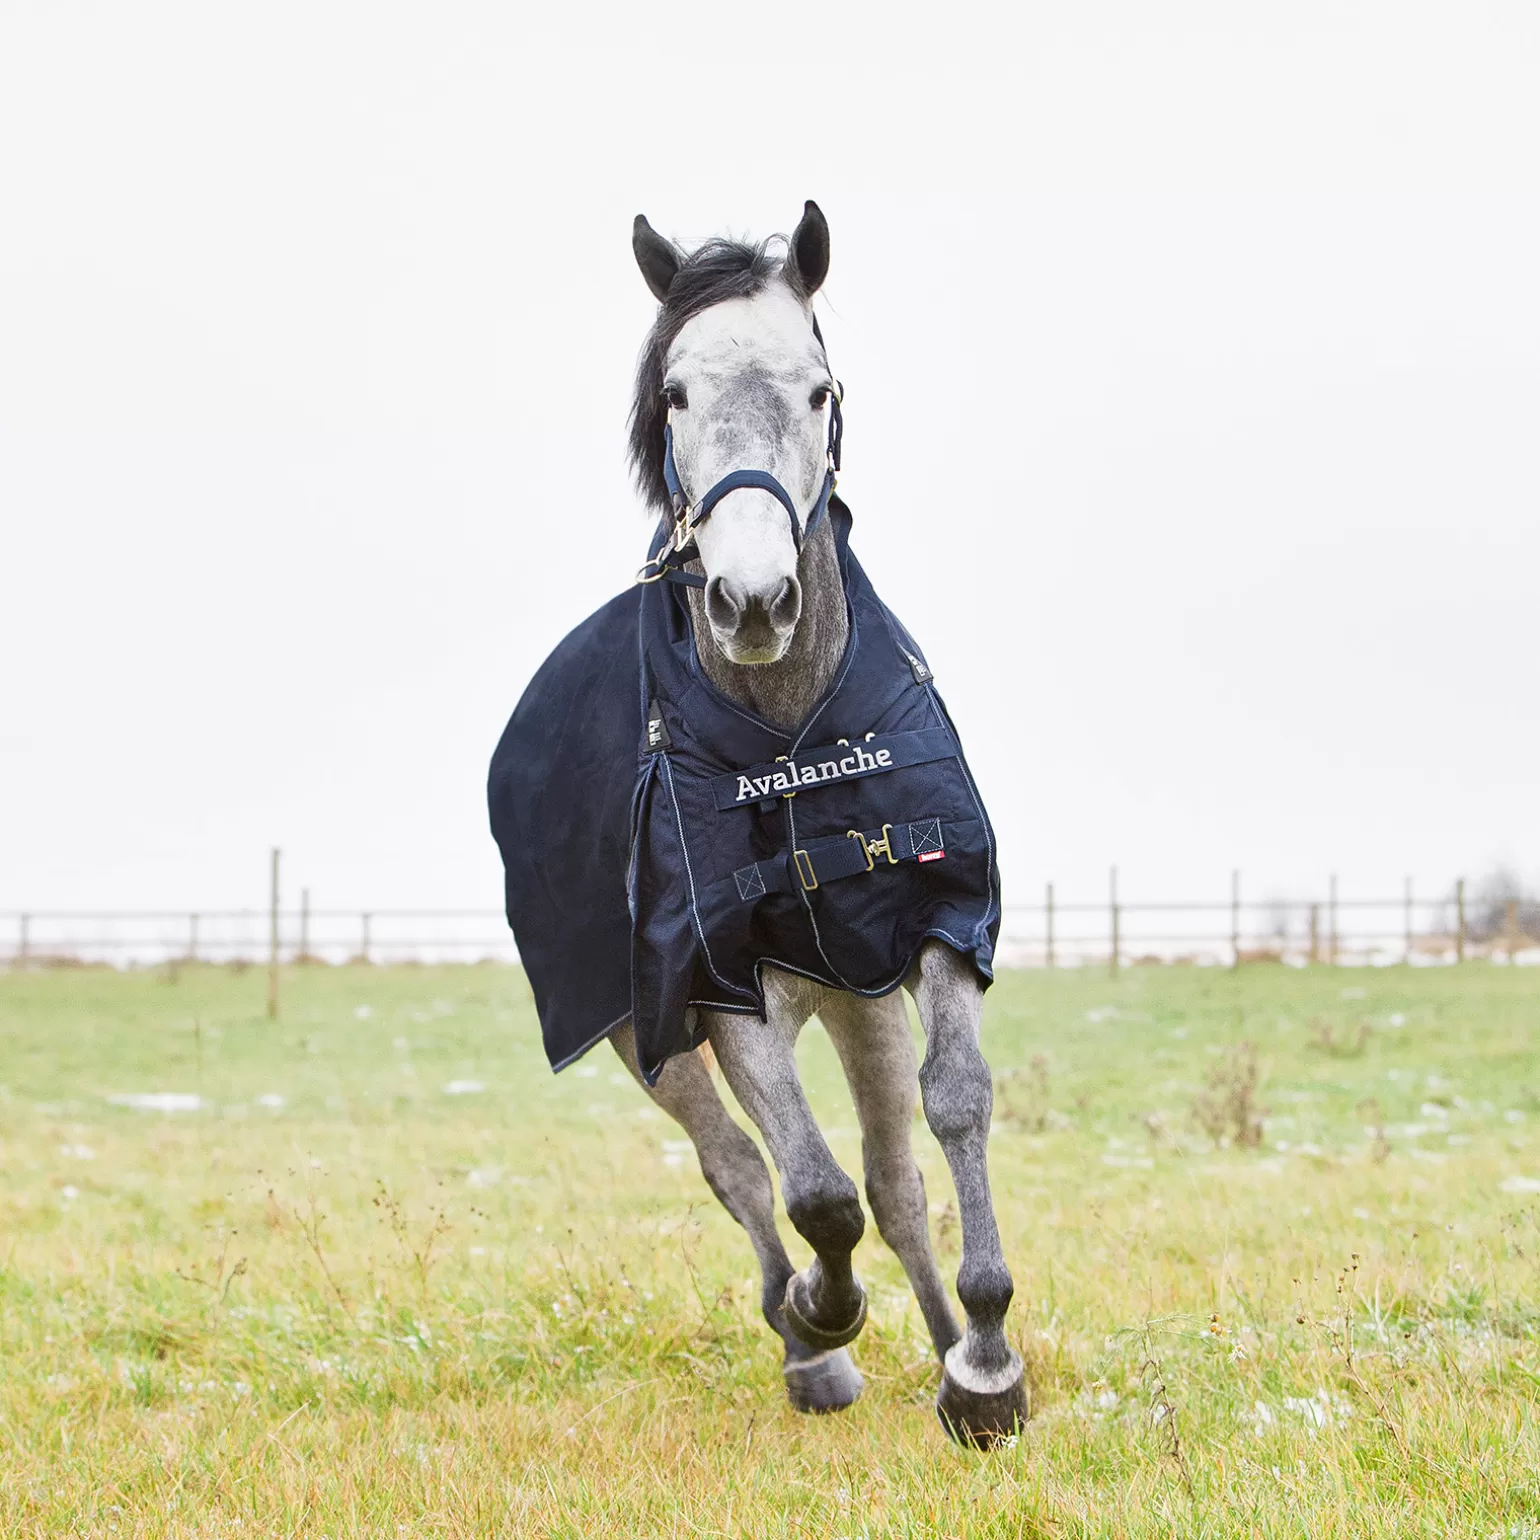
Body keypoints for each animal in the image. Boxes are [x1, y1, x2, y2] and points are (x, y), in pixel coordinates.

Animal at [594, 201, 1028, 1441]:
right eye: (674, 393)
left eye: (821, 389)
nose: (751, 600)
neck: (791, 741)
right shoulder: (716, 983)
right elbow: (815, 1195)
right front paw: (825, 1313)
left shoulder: (928, 929)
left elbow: (950, 1111)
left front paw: (986, 1359)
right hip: (649, 1038)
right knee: (741, 1170)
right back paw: (805, 1350)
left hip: (852, 1001)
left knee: (894, 1178)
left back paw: (944, 1347)